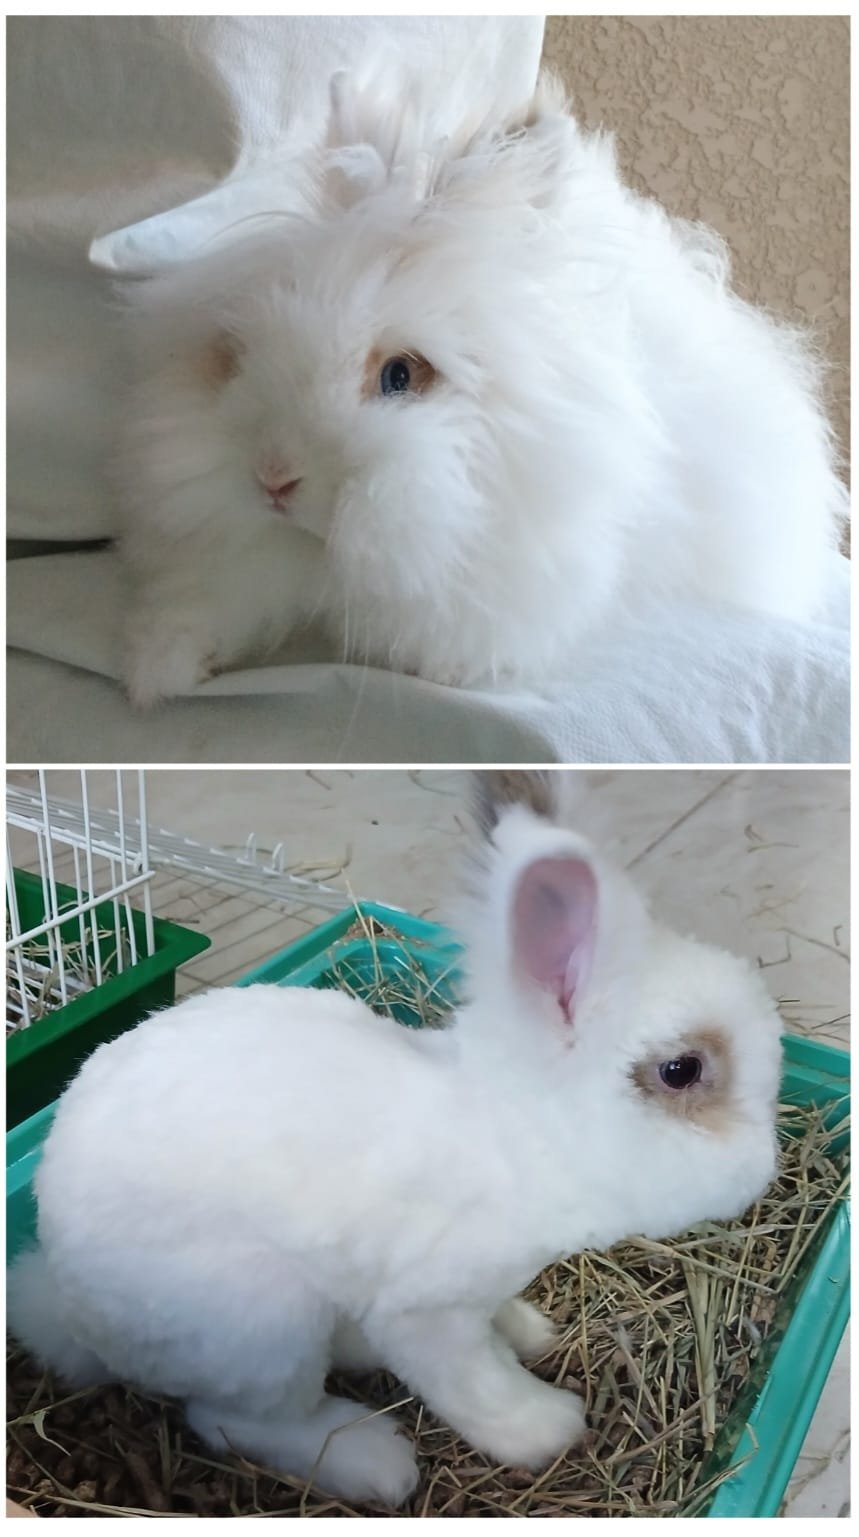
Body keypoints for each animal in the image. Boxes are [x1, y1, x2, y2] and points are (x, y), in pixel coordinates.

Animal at [7, 770, 784, 1506]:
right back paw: (374, 1460)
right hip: (260, 1330)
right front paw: (547, 1427)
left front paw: (529, 1331)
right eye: (681, 1070)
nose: (766, 1166)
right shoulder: (424, 1312)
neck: (512, 1136)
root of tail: (71, 1310)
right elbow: (476, 1383)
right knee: (233, 1418)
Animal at [112, 69, 847, 707]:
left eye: (400, 375)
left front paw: (440, 670)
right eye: (243, 348)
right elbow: (208, 603)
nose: (273, 480)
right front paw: (159, 670)